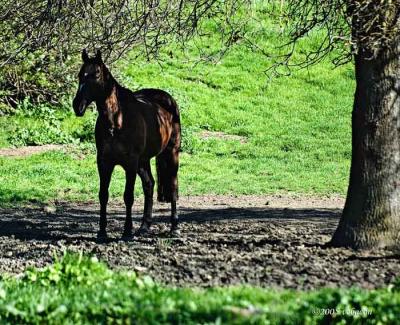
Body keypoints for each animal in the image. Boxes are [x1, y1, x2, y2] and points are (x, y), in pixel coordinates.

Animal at [72, 48, 181, 240]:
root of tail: (167, 100)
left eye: (96, 74)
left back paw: (174, 227)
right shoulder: (104, 163)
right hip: (143, 161)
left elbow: (128, 196)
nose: (77, 105)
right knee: (149, 185)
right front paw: (102, 231)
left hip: (171, 153)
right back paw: (144, 226)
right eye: (80, 75)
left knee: (173, 186)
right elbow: (103, 195)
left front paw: (127, 231)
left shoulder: (130, 163)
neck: (117, 120)